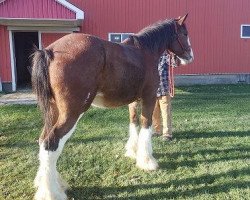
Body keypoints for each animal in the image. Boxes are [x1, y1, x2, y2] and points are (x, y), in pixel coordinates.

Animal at [31, 14, 193, 200]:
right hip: (72, 113)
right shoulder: (149, 98)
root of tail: (50, 51)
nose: (190, 56)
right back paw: (51, 193)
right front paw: (147, 161)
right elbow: (146, 125)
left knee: (43, 140)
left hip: (54, 111)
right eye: (185, 33)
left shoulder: (133, 100)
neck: (145, 52)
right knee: (51, 143)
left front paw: (132, 151)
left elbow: (134, 122)